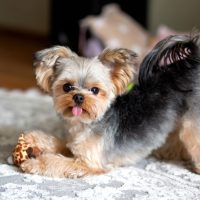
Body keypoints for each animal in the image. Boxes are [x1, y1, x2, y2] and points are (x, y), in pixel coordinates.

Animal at [19, 34, 200, 178]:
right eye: (67, 87)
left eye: (95, 90)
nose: (78, 97)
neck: (85, 123)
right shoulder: (75, 145)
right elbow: (58, 142)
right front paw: (33, 138)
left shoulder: (88, 163)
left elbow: (56, 162)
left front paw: (34, 163)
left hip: (191, 126)